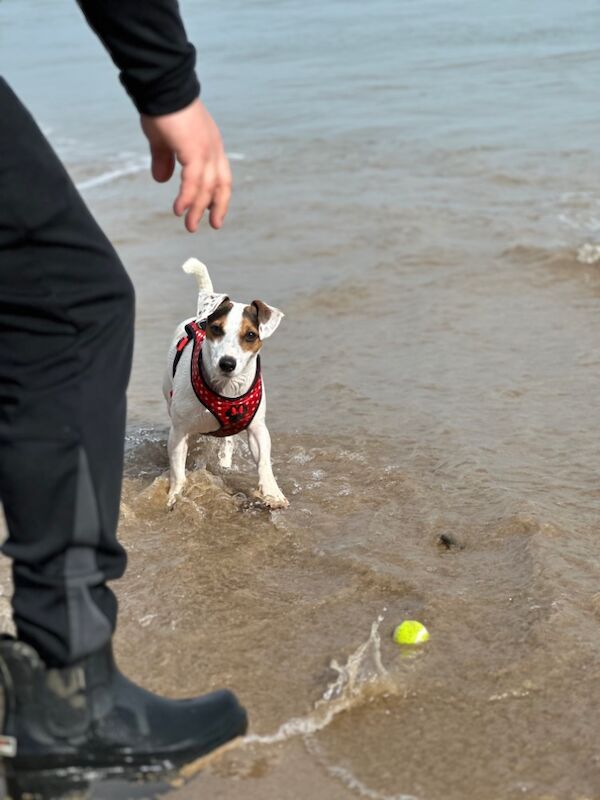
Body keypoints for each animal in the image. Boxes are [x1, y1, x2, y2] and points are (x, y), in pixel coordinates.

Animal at [162, 260, 288, 510]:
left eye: (251, 335)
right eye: (217, 329)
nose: (227, 363)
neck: (226, 388)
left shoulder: (257, 427)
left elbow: (264, 461)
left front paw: (272, 492)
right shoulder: (179, 431)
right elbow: (178, 470)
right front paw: (176, 495)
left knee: (227, 441)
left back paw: (225, 461)